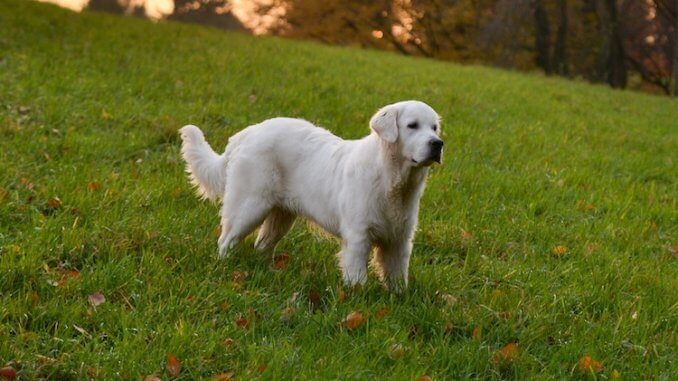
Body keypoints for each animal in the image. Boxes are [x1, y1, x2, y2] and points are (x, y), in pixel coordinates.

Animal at [181, 99, 444, 290]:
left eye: (434, 127)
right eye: (412, 125)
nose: (437, 144)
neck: (394, 182)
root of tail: (247, 133)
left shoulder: (400, 240)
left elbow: (398, 278)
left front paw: (399, 299)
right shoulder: (358, 237)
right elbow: (357, 275)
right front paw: (359, 298)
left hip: (281, 216)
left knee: (262, 245)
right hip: (249, 207)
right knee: (226, 239)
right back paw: (224, 267)